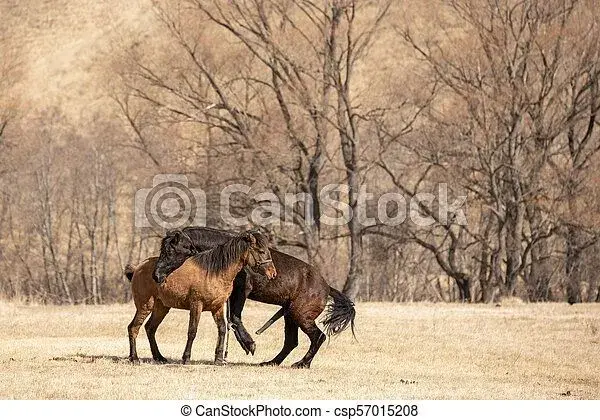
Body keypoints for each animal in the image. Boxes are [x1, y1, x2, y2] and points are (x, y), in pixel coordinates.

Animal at [127, 230, 278, 364]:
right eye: (261, 251)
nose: (273, 273)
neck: (213, 272)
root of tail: (139, 267)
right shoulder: (196, 305)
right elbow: (192, 331)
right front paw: (186, 358)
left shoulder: (218, 307)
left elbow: (222, 329)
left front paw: (219, 359)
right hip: (145, 306)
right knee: (133, 328)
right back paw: (135, 358)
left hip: (161, 308)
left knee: (150, 328)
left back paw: (159, 357)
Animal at [152, 226, 356, 368]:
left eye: (170, 250)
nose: (156, 275)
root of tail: (326, 287)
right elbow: (230, 320)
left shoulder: (241, 291)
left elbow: (234, 318)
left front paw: (248, 344)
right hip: (290, 316)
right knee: (291, 342)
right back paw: (271, 362)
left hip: (301, 316)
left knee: (318, 337)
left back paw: (302, 363)